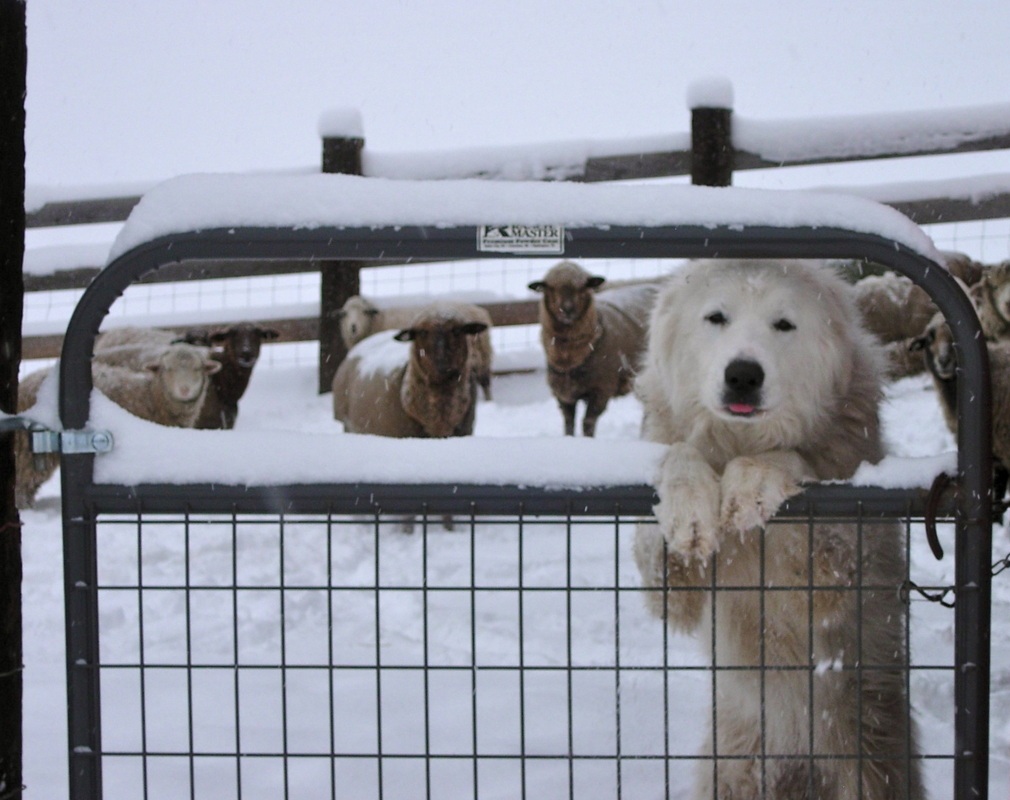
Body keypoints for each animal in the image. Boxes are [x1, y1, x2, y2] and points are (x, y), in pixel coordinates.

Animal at [339, 294, 496, 399]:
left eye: (364, 312)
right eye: (346, 314)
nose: (353, 327)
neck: (377, 321)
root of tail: (479, 311)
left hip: (477, 356)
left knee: (483, 381)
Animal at [525, 260, 658, 438]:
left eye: (584, 286)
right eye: (549, 287)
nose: (567, 309)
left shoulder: (601, 389)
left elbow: (588, 423)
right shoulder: (563, 394)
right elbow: (568, 424)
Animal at [634, 258, 925, 799]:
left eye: (784, 324)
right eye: (717, 317)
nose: (743, 375)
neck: (739, 439)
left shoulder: (834, 569)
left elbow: (788, 459)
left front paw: (753, 481)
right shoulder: (673, 593)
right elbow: (677, 464)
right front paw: (689, 505)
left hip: (869, 759)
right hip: (730, 769)